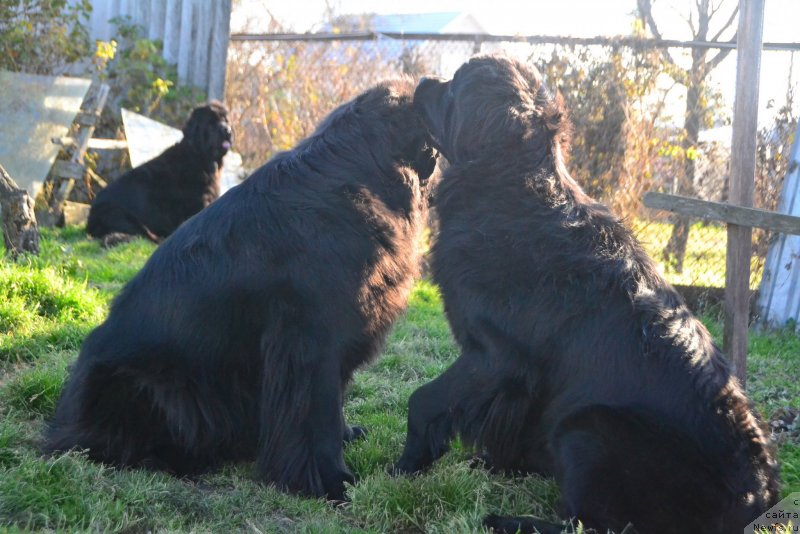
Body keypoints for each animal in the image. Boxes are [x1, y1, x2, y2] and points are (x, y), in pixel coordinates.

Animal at [86, 100, 231, 247]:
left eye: (225, 120)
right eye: (210, 123)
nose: (227, 130)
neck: (199, 156)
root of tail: (90, 218)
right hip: (119, 213)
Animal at [396, 55, 780, 534]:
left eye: (454, 86)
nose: (421, 82)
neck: (510, 189)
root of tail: (760, 498)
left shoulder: (496, 355)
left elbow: (422, 400)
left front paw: (402, 468)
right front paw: (494, 463)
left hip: (589, 428)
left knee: (591, 524)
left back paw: (503, 519)